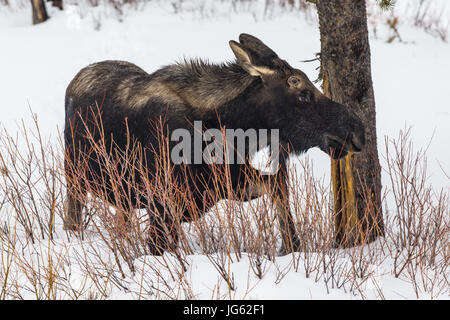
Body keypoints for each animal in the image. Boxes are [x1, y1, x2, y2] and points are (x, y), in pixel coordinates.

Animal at [63, 33, 366, 255]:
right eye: (301, 91)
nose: (357, 131)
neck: (226, 129)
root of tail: (76, 78)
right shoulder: (162, 204)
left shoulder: (229, 181)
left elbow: (278, 184)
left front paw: (291, 245)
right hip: (74, 178)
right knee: (73, 216)